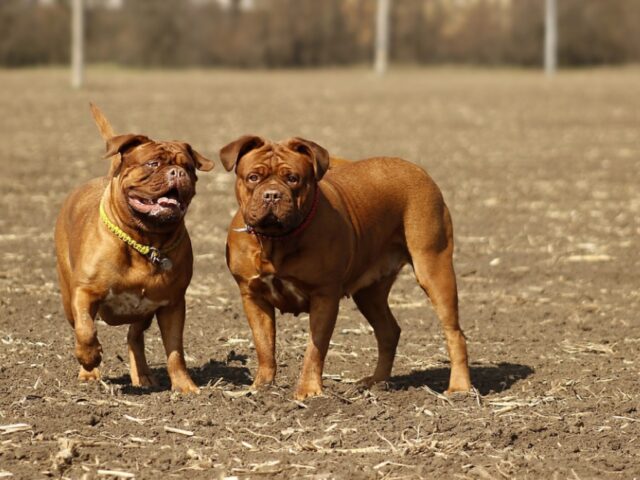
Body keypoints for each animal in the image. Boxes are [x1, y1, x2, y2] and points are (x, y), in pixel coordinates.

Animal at [54, 103, 214, 392]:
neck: (146, 240)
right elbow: (86, 330)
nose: (177, 172)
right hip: (67, 296)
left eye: (188, 167)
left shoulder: (172, 305)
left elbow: (175, 351)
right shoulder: (85, 293)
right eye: (153, 163)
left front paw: (184, 386)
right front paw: (90, 359)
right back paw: (89, 372)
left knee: (134, 336)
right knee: (80, 326)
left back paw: (143, 376)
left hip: (144, 310)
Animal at [222, 136, 472, 402]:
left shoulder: (324, 296)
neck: (275, 240)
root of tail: (417, 170)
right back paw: (375, 382)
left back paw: (459, 387)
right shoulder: (253, 296)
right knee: (388, 331)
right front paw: (262, 387)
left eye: (292, 178)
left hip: (434, 268)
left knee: (454, 332)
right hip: (369, 294)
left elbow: (314, 349)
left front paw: (308, 391)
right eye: (253, 177)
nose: (272, 195)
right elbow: (264, 345)